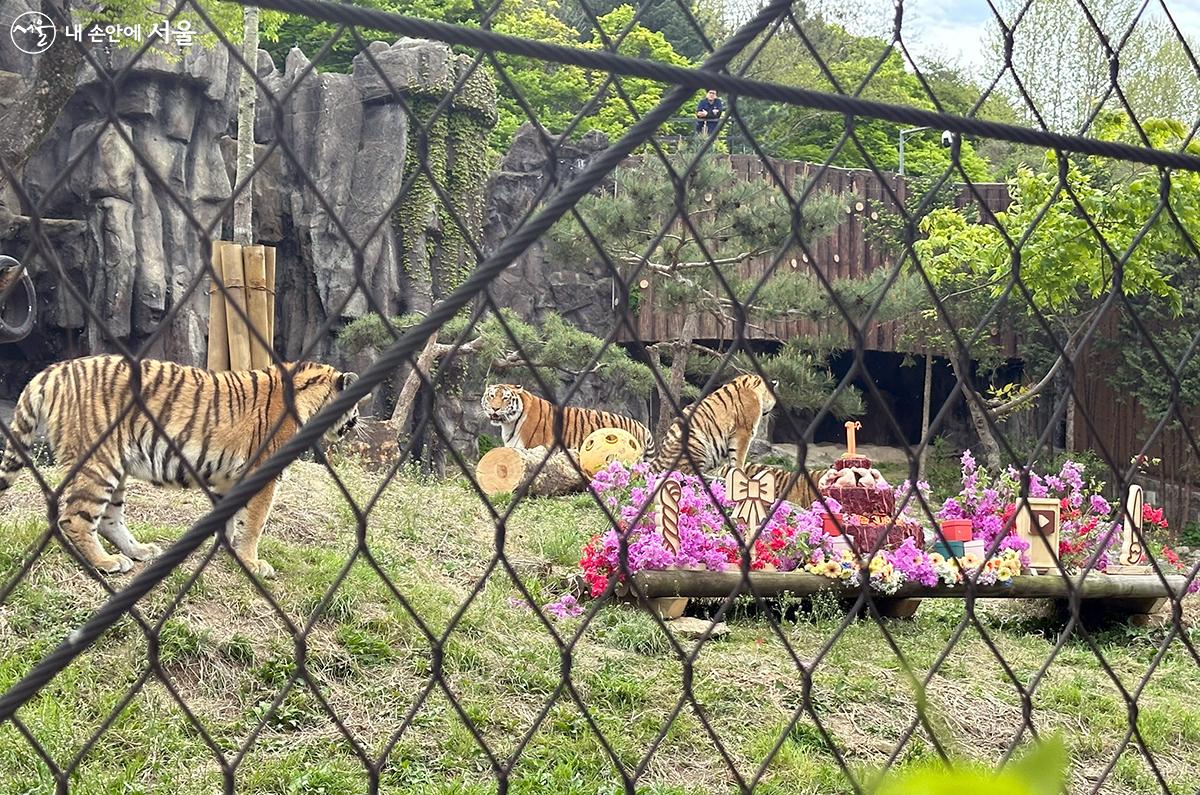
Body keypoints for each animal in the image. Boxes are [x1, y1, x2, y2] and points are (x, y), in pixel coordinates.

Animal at [0, 355, 357, 578]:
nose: (354, 425)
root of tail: (54, 370)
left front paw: (229, 551)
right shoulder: (263, 474)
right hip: (97, 463)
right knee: (76, 518)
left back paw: (139, 551)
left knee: (109, 520)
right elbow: (254, 523)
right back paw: (106, 563)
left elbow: (231, 518)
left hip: (115, 467)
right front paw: (252, 563)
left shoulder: (231, 478)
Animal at [477, 384, 657, 458]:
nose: (494, 409)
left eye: (505, 398)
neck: (509, 423)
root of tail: (642, 426)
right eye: (491, 396)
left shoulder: (535, 447)